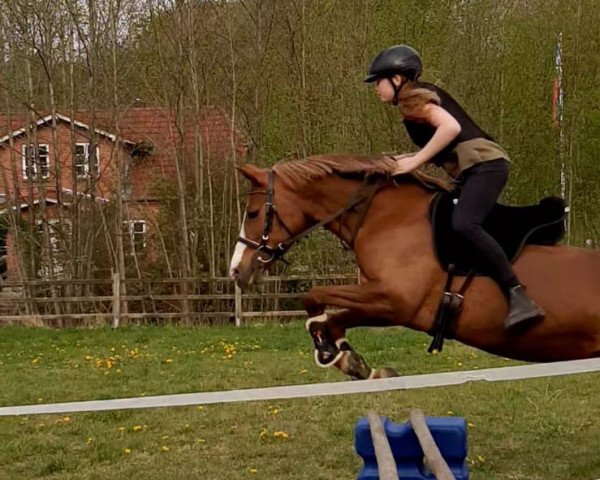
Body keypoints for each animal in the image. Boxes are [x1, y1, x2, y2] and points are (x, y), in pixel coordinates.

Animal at [230, 154, 600, 378]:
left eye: (253, 213)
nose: (237, 270)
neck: (384, 218)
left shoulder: (395, 301)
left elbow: (316, 296)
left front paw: (328, 348)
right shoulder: (386, 303)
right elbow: (337, 314)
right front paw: (351, 361)